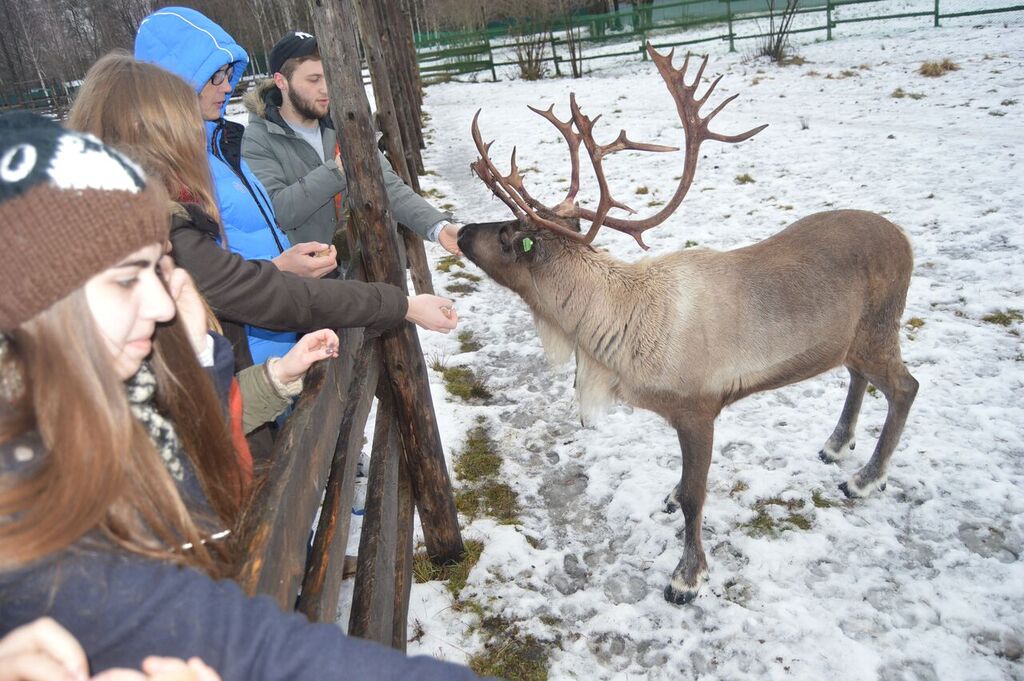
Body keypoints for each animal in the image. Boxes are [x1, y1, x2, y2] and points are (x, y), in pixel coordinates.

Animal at [456, 44, 918, 605]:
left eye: (507, 234)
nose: (461, 231)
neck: (615, 328)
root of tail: (906, 240)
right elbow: (683, 482)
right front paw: (673, 498)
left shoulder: (700, 409)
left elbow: (699, 497)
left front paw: (687, 575)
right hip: (852, 340)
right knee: (858, 377)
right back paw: (835, 444)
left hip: (881, 327)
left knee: (905, 387)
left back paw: (865, 479)